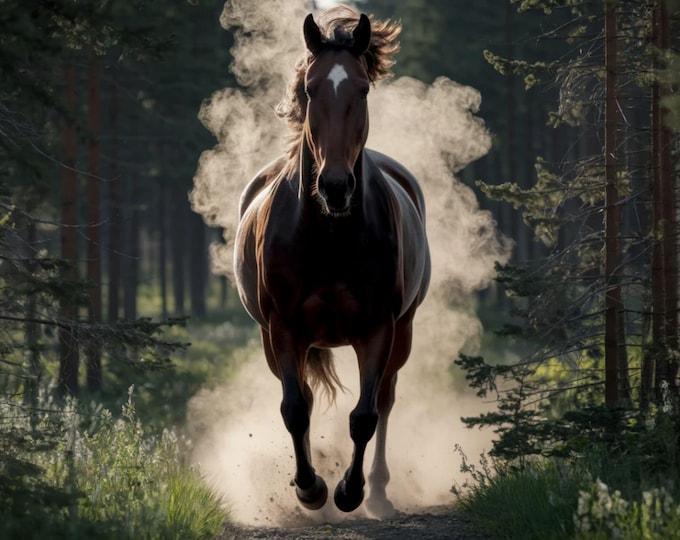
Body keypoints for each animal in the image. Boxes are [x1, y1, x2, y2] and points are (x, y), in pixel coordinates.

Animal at [233, 6, 431, 517]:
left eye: (362, 89)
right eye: (310, 89)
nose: (336, 186)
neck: (328, 236)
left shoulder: (380, 329)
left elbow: (365, 415)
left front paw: (349, 491)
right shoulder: (282, 329)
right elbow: (295, 408)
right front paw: (310, 488)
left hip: (403, 332)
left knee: (386, 399)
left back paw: (377, 490)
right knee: (302, 395)